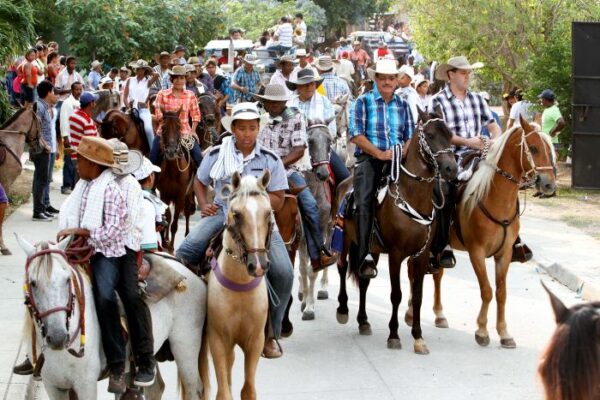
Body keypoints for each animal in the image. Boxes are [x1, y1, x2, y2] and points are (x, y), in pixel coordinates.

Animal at [15, 235, 208, 400]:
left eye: (67, 279)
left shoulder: (86, 385)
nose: (57, 336)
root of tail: (189, 272)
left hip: (185, 347)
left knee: (193, 388)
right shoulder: (54, 387)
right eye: (33, 283)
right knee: (156, 388)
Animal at [156, 107, 196, 252]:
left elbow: (174, 224)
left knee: (188, 212)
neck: (173, 171)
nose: (171, 151)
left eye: (179, 127)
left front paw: (172, 247)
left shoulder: (180, 196)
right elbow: (167, 217)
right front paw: (165, 243)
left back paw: (187, 234)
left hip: (189, 194)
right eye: (163, 127)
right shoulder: (164, 195)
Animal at [203, 171, 272, 400]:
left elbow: (248, 390)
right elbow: (223, 392)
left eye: (268, 213)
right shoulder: (217, 341)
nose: (258, 265)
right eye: (237, 214)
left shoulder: (256, 341)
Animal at [336, 108, 458, 354]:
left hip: (371, 249)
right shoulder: (395, 254)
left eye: (450, 135)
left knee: (364, 279)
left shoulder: (421, 255)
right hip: (346, 239)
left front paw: (418, 337)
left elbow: (418, 295)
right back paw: (343, 309)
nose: (452, 169)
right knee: (342, 267)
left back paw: (363, 321)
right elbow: (396, 294)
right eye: (430, 135)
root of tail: (345, 183)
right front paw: (393, 335)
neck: (412, 197)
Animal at [424, 117, 556, 349]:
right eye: (533, 148)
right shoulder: (476, 252)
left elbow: (501, 292)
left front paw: (504, 333)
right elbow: (486, 290)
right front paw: (482, 331)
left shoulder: (504, 254)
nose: (549, 184)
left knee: (438, 273)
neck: (495, 198)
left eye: (550, 149)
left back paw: (440, 315)